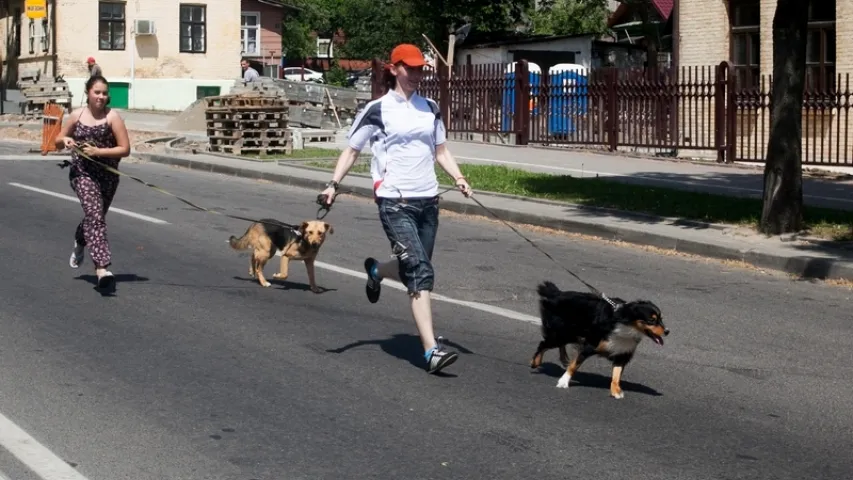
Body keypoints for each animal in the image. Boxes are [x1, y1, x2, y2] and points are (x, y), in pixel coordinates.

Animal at [528, 282, 668, 398]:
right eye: (651, 320)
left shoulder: (622, 352)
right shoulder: (590, 344)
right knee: (544, 344)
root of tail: (557, 293)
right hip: (562, 332)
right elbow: (574, 365)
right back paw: (535, 362)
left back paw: (563, 358)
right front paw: (564, 381)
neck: (625, 323)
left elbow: (616, 375)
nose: (667, 331)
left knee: (559, 345)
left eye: (661, 319)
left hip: (569, 334)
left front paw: (616, 391)